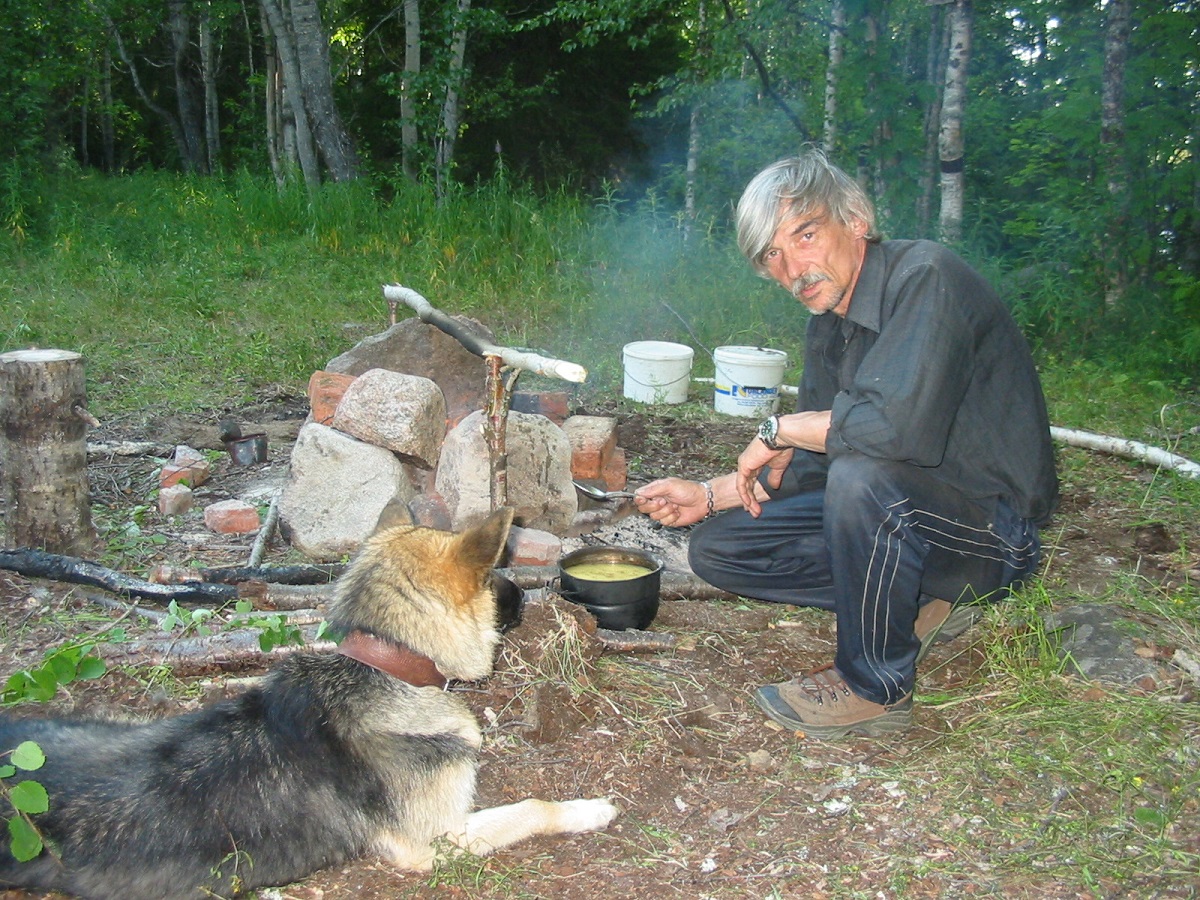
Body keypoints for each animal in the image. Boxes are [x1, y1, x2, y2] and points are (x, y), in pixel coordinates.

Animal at [0, 504, 619, 897]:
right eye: (494, 577)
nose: (538, 595)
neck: (382, 661)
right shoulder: (433, 843)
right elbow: (533, 807)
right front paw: (587, 809)